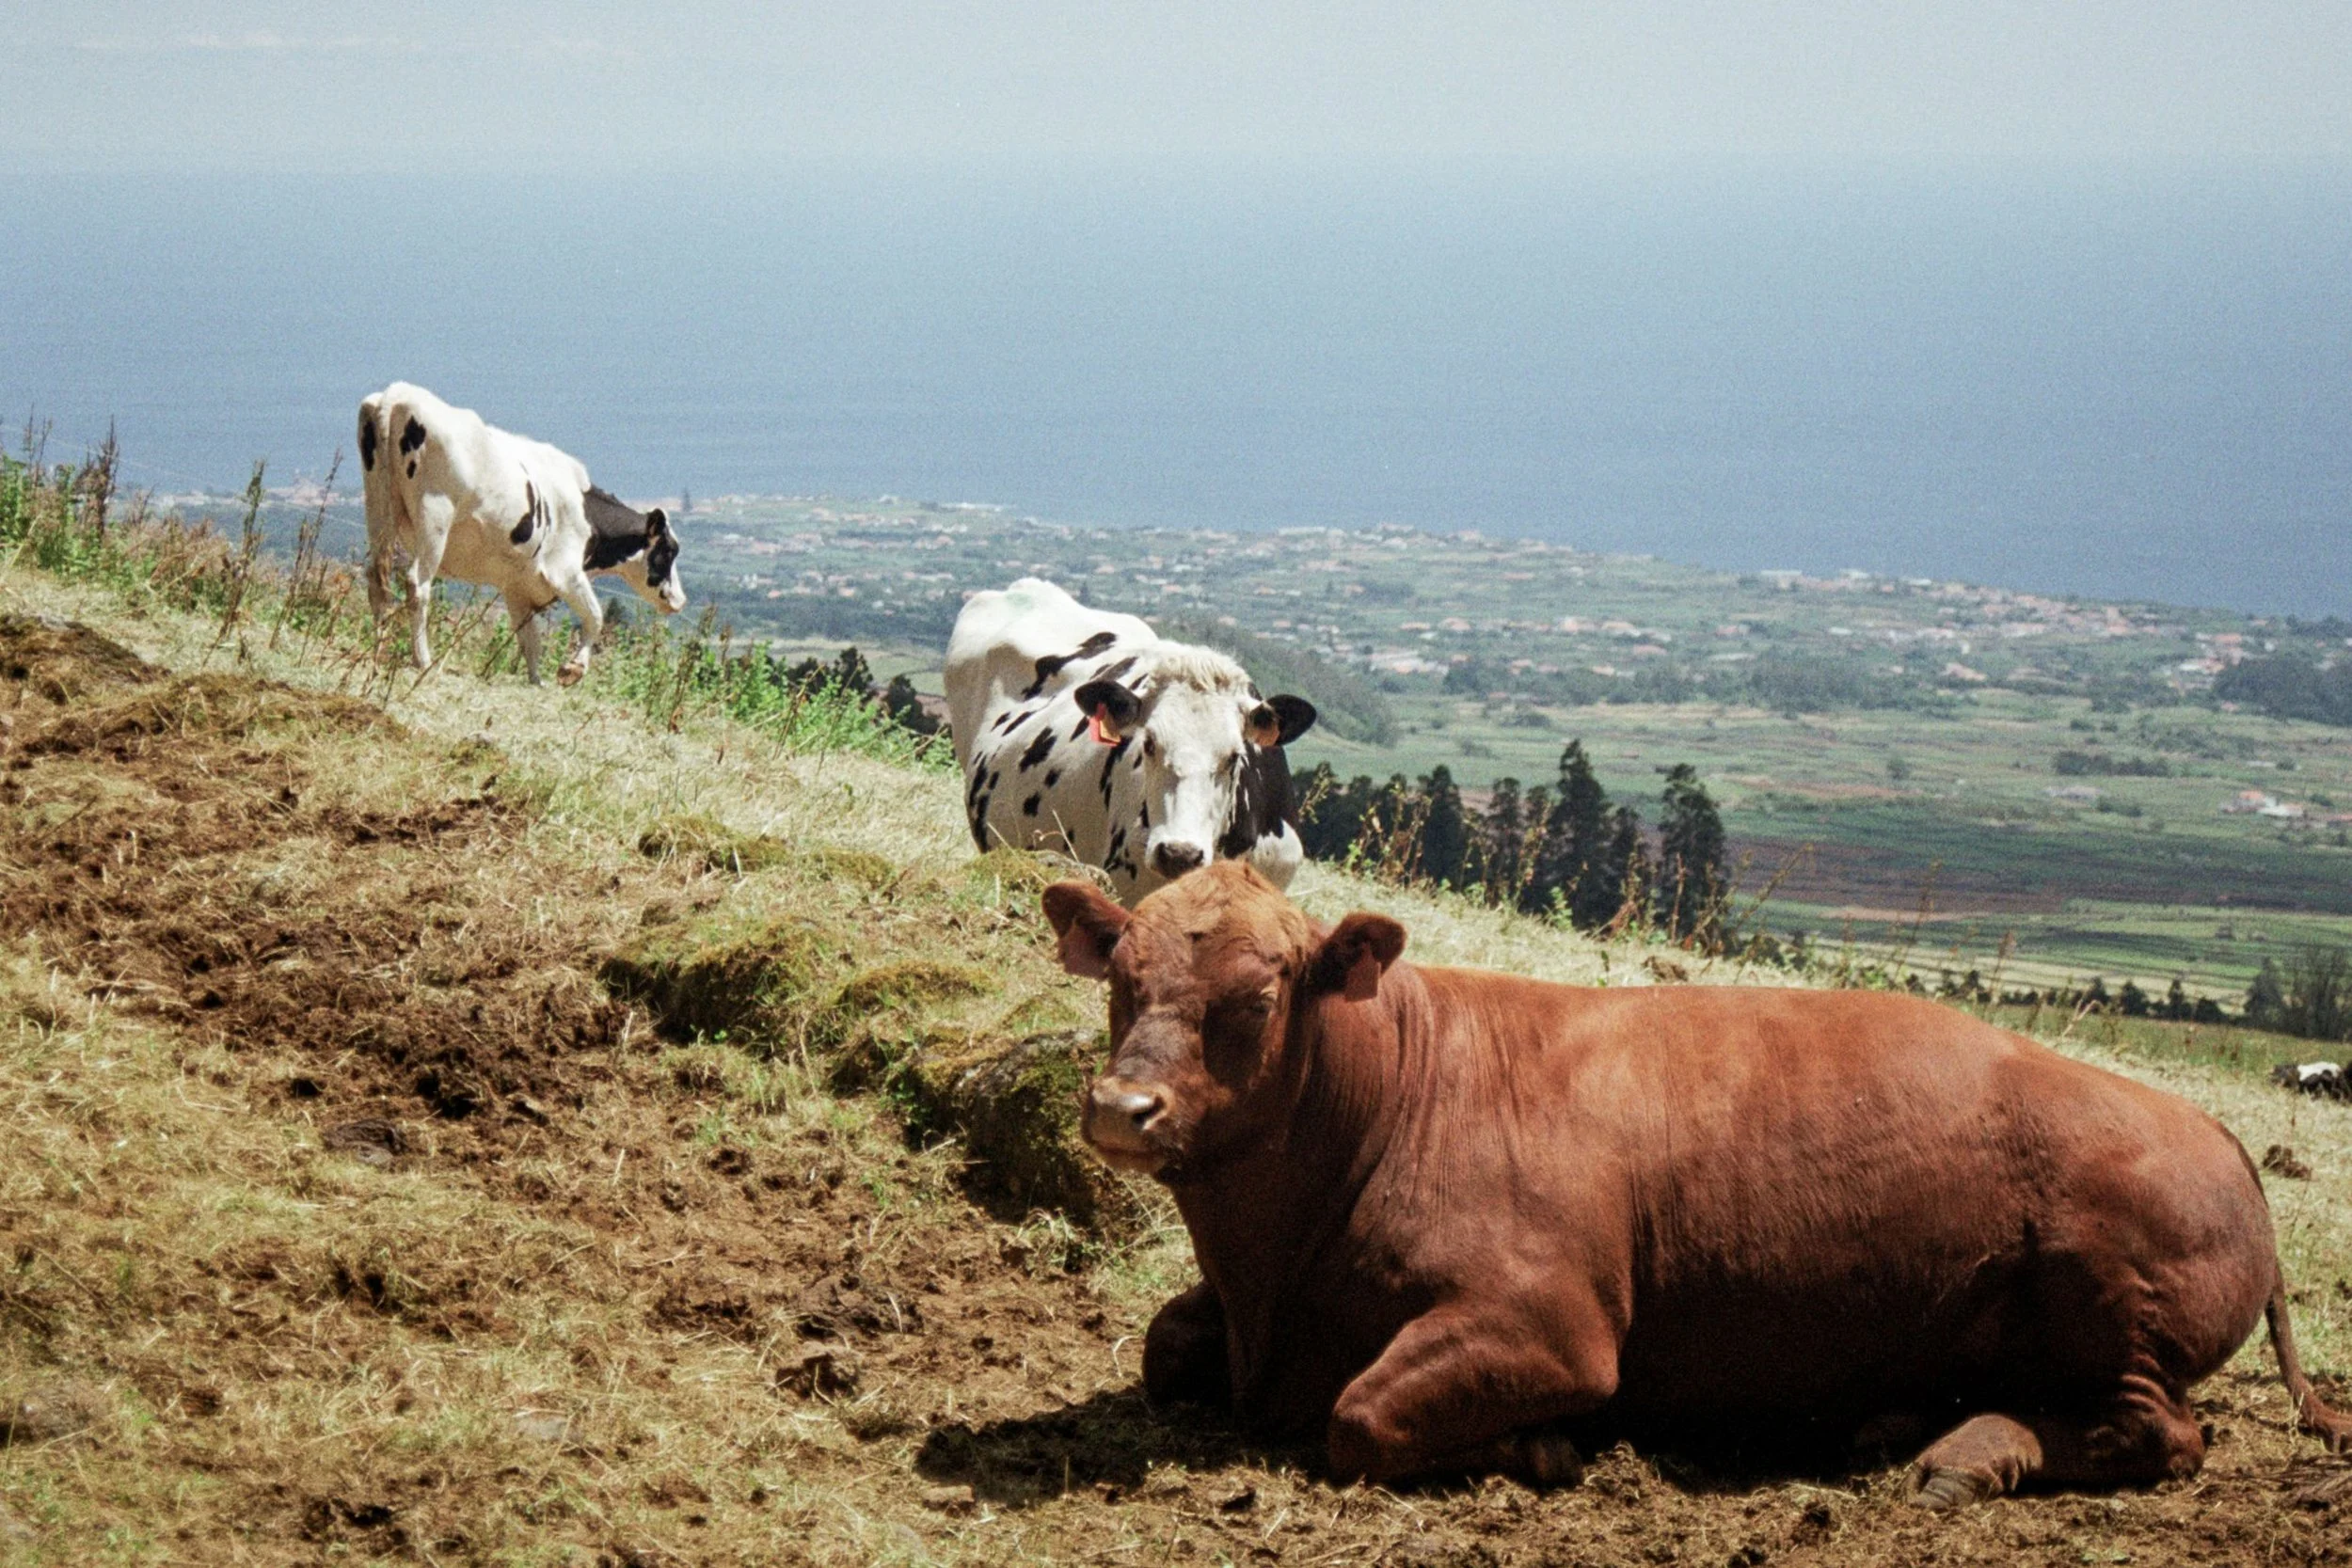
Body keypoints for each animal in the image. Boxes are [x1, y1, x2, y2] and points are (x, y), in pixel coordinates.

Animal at [357, 382, 686, 684]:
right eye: (669, 551)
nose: (680, 601)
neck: (586, 514)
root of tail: (398, 393)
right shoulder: (565, 572)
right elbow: (595, 617)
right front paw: (572, 670)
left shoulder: (517, 586)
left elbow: (531, 640)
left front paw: (536, 681)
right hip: (434, 514)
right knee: (417, 585)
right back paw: (423, 661)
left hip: (378, 504)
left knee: (377, 579)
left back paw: (376, 655)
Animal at [1042, 862, 2352, 1503]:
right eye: (1122, 975)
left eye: (1258, 995)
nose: (1121, 1108)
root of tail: (2210, 1126)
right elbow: (1165, 1343)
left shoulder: (1553, 1321)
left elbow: (1360, 1415)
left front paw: (1541, 1447)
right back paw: (1906, 1422)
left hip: (2109, 1278)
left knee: (2158, 1428)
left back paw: (1971, 1452)